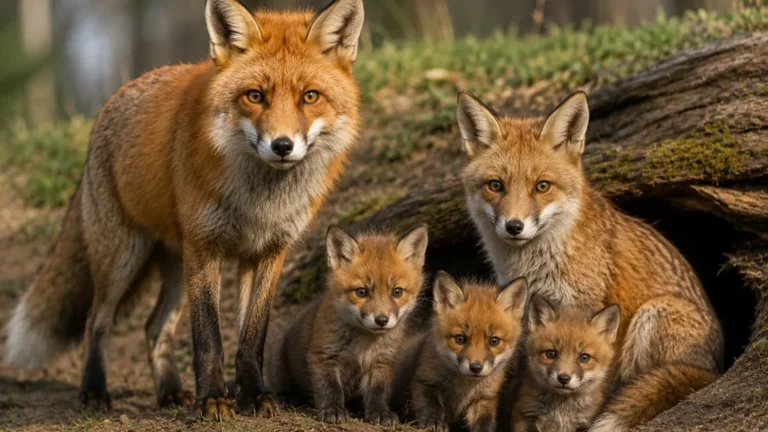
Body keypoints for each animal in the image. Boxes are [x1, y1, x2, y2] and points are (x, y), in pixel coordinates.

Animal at [4, 0, 365, 421]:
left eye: (310, 96)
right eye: (255, 96)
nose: (282, 145)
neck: (259, 202)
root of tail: (111, 102)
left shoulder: (267, 252)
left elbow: (252, 338)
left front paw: (254, 396)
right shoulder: (206, 247)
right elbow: (208, 337)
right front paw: (211, 400)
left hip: (176, 264)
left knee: (153, 328)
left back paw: (170, 391)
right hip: (123, 258)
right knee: (98, 319)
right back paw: (94, 390)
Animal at [266, 225, 429, 426]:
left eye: (397, 292)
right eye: (361, 292)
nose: (381, 320)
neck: (363, 343)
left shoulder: (382, 361)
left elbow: (378, 392)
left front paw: (380, 412)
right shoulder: (323, 355)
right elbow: (330, 388)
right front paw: (333, 410)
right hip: (277, 357)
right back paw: (286, 397)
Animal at [409, 272, 528, 432]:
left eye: (494, 341)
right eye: (460, 339)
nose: (476, 368)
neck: (464, 387)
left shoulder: (484, 398)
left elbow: (485, 421)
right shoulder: (426, 380)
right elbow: (431, 405)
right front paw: (433, 421)